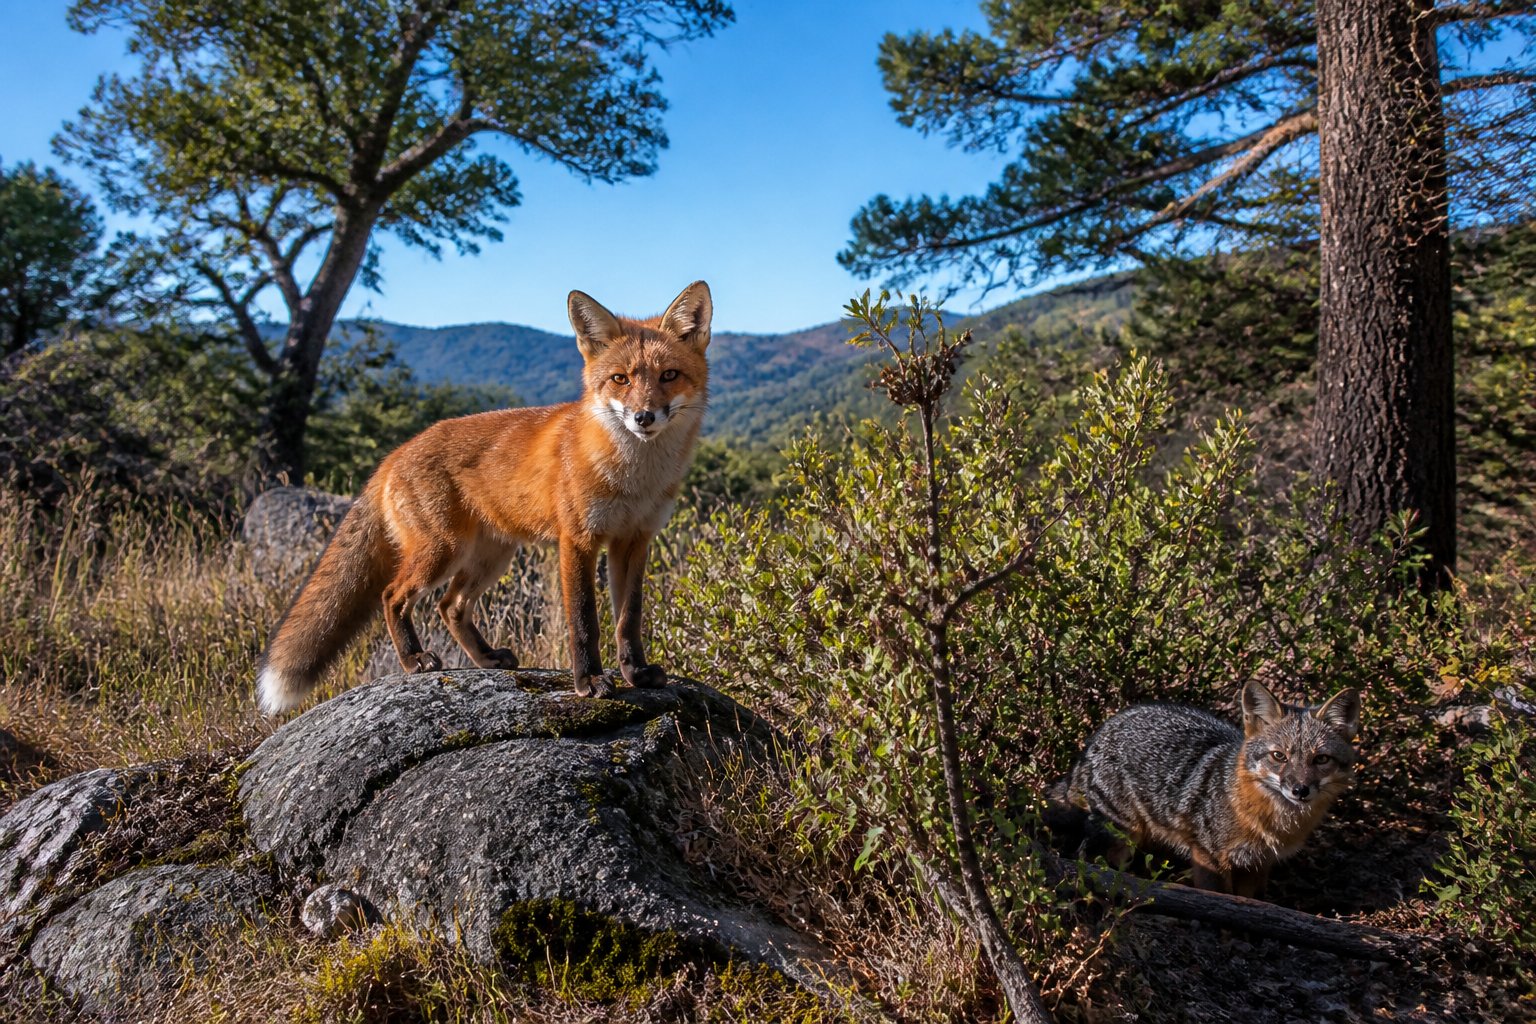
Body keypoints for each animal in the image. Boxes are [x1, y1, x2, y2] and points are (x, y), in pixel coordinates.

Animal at [255, 281, 712, 716]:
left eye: (669, 375)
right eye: (620, 379)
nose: (643, 417)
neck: (634, 478)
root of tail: (395, 454)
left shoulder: (634, 541)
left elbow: (628, 620)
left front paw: (637, 673)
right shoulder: (578, 541)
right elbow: (585, 622)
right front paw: (590, 681)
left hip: (491, 558)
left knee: (449, 606)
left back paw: (486, 658)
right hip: (443, 551)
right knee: (393, 596)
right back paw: (415, 660)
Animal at [1050, 681, 1361, 897]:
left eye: (1320, 760)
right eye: (1279, 756)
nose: (1300, 790)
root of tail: (1096, 736)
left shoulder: (1258, 865)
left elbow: (1250, 901)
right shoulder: (1210, 856)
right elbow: (1222, 898)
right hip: (1121, 840)